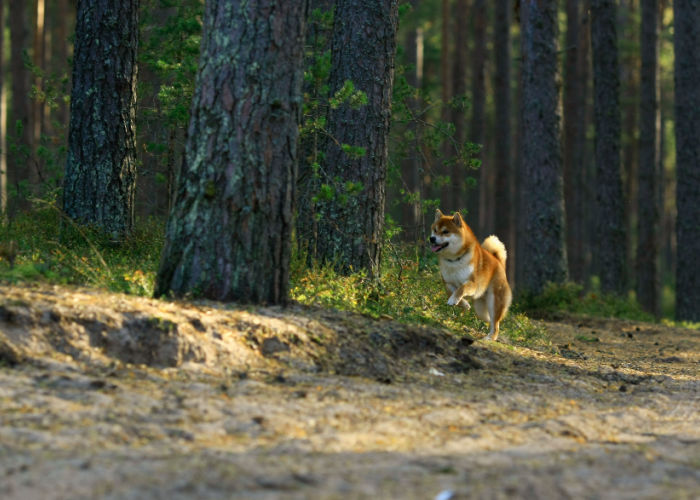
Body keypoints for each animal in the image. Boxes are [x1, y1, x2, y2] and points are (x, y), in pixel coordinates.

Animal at [430, 207, 512, 340]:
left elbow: (461, 289)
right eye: (435, 230)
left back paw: (491, 337)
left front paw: (456, 300)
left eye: (445, 232)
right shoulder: (448, 283)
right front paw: (463, 304)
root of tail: (498, 262)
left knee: (496, 323)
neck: (454, 260)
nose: (431, 238)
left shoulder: (473, 284)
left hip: (494, 302)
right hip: (480, 310)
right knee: (491, 320)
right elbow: (450, 293)